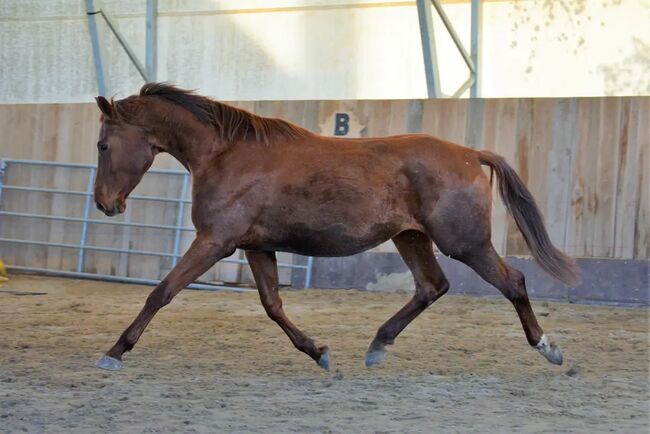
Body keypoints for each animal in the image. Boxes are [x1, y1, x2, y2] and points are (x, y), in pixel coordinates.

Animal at [92, 83, 576, 372]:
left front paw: (115, 352)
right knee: (431, 287)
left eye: (102, 145)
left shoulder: (215, 242)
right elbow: (272, 305)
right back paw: (377, 346)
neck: (226, 154)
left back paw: (549, 348)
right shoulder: (254, 246)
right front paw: (319, 352)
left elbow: (162, 292)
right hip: (411, 237)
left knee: (513, 282)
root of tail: (471, 154)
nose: (104, 203)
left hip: (465, 243)